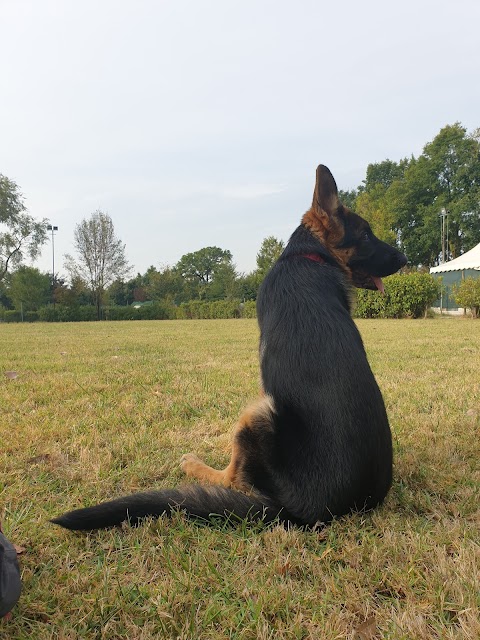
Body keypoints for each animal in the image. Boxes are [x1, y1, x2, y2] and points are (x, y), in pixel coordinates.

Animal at [51, 164, 404, 528]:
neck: (308, 256)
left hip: (256, 412)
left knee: (231, 478)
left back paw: (195, 465)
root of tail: (313, 510)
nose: (405, 257)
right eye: (366, 235)